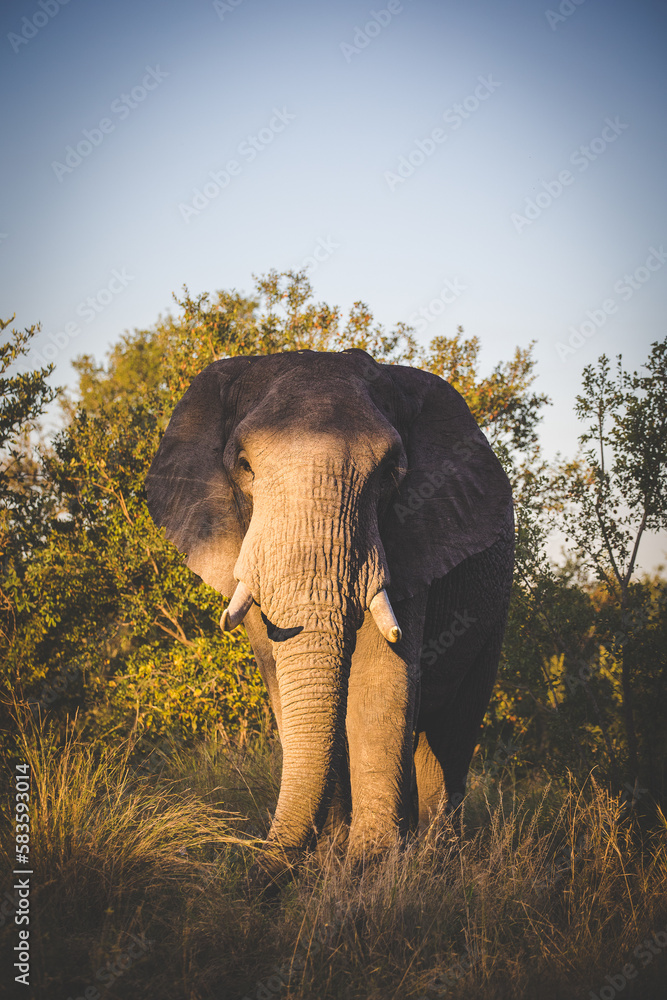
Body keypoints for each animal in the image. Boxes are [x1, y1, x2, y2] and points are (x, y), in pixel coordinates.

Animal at [145, 348, 514, 870]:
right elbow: (283, 681)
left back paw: (439, 856)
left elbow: (382, 682)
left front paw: (370, 864)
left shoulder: (411, 540)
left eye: (391, 472)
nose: (246, 857)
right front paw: (330, 858)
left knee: (452, 731)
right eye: (244, 466)